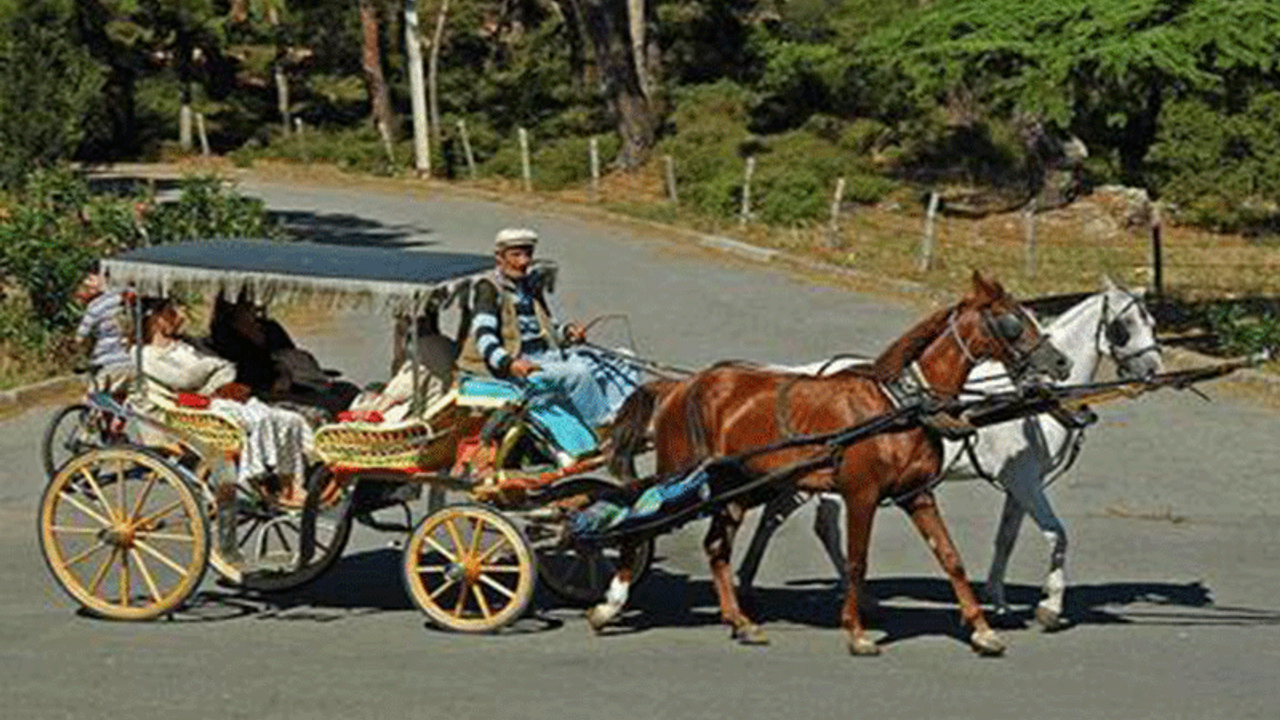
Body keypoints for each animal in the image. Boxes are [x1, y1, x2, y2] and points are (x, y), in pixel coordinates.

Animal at [588, 271, 1070, 653]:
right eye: (1012, 322)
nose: (1060, 362)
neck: (899, 406)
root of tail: (678, 386)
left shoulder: (916, 495)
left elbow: (950, 557)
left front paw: (982, 629)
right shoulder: (862, 494)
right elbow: (856, 561)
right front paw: (856, 632)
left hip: (733, 485)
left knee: (715, 547)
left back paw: (740, 621)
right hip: (679, 475)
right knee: (641, 525)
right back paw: (609, 605)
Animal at [737, 275, 1167, 627]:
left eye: (1152, 323)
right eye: (1124, 326)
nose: (1152, 371)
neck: (1033, 398)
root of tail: (813, 372)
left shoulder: (1020, 483)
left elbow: (1007, 538)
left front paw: (997, 599)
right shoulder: (1025, 481)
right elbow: (1056, 535)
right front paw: (1050, 608)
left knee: (780, 515)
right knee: (814, 523)